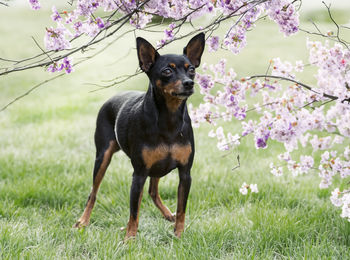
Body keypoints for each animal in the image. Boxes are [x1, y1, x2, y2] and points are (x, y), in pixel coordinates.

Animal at [74, 32, 205, 240]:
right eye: (167, 71)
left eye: (191, 69)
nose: (189, 83)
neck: (169, 119)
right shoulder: (139, 174)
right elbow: (134, 211)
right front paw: (129, 239)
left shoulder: (185, 173)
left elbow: (182, 209)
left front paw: (179, 235)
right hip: (103, 157)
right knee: (93, 192)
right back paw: (83, 221)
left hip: (156, 168)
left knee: (152, 192)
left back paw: (168, 214)